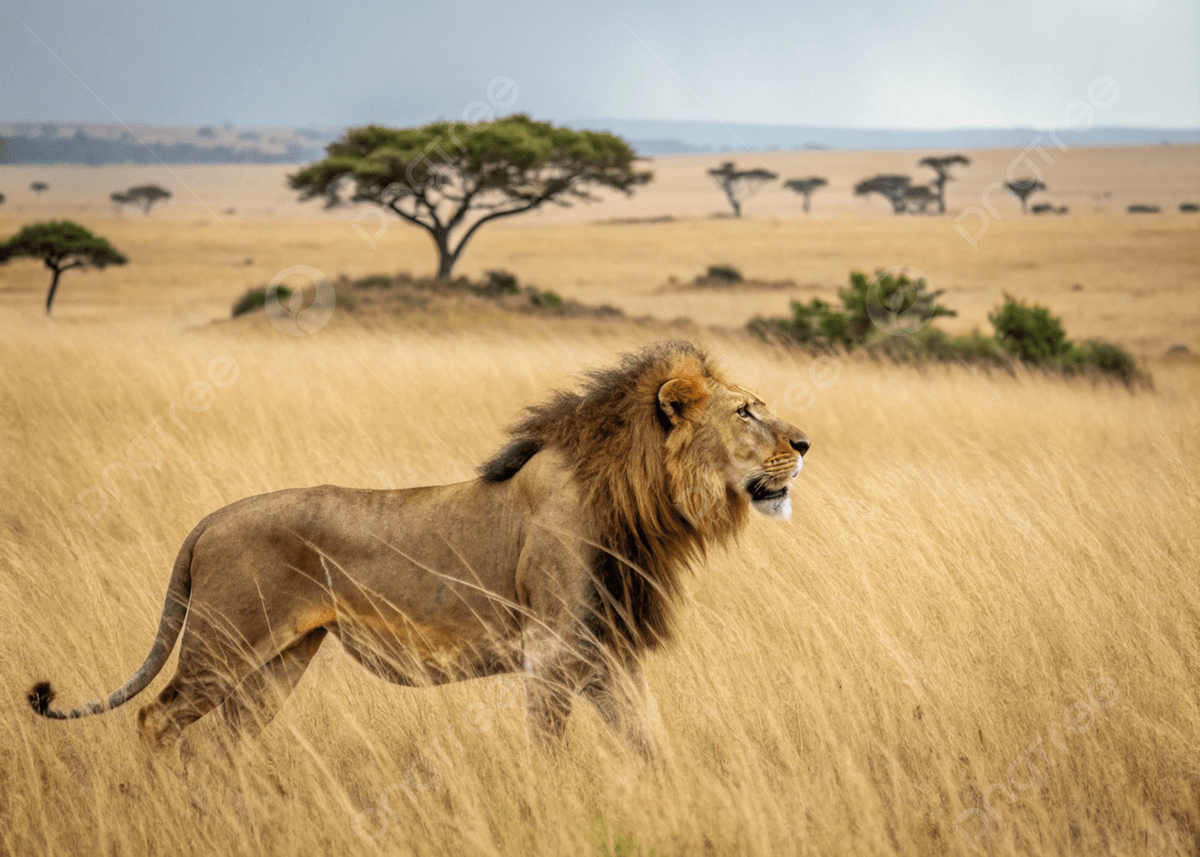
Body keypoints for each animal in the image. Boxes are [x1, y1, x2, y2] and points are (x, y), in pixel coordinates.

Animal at [28, 341, 809, 754]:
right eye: (747, 412)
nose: (804, 444)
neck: (637, 503)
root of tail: (210, 520)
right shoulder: (553, 650)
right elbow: (550, 750)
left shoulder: (609, 650)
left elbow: (651, 744)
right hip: (222, 644)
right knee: (156, 717)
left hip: (280, 659)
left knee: (224, 737)